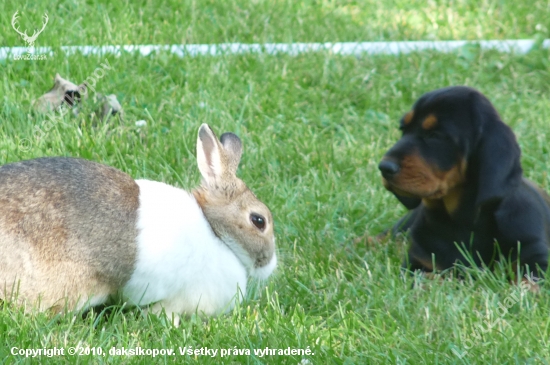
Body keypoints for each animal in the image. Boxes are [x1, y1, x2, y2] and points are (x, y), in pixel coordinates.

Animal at [382, 85, 550, 278]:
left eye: (435, 135)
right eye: (403, 129)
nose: (384, 167)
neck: (461, 223)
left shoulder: (536, 261)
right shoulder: (415, 263)